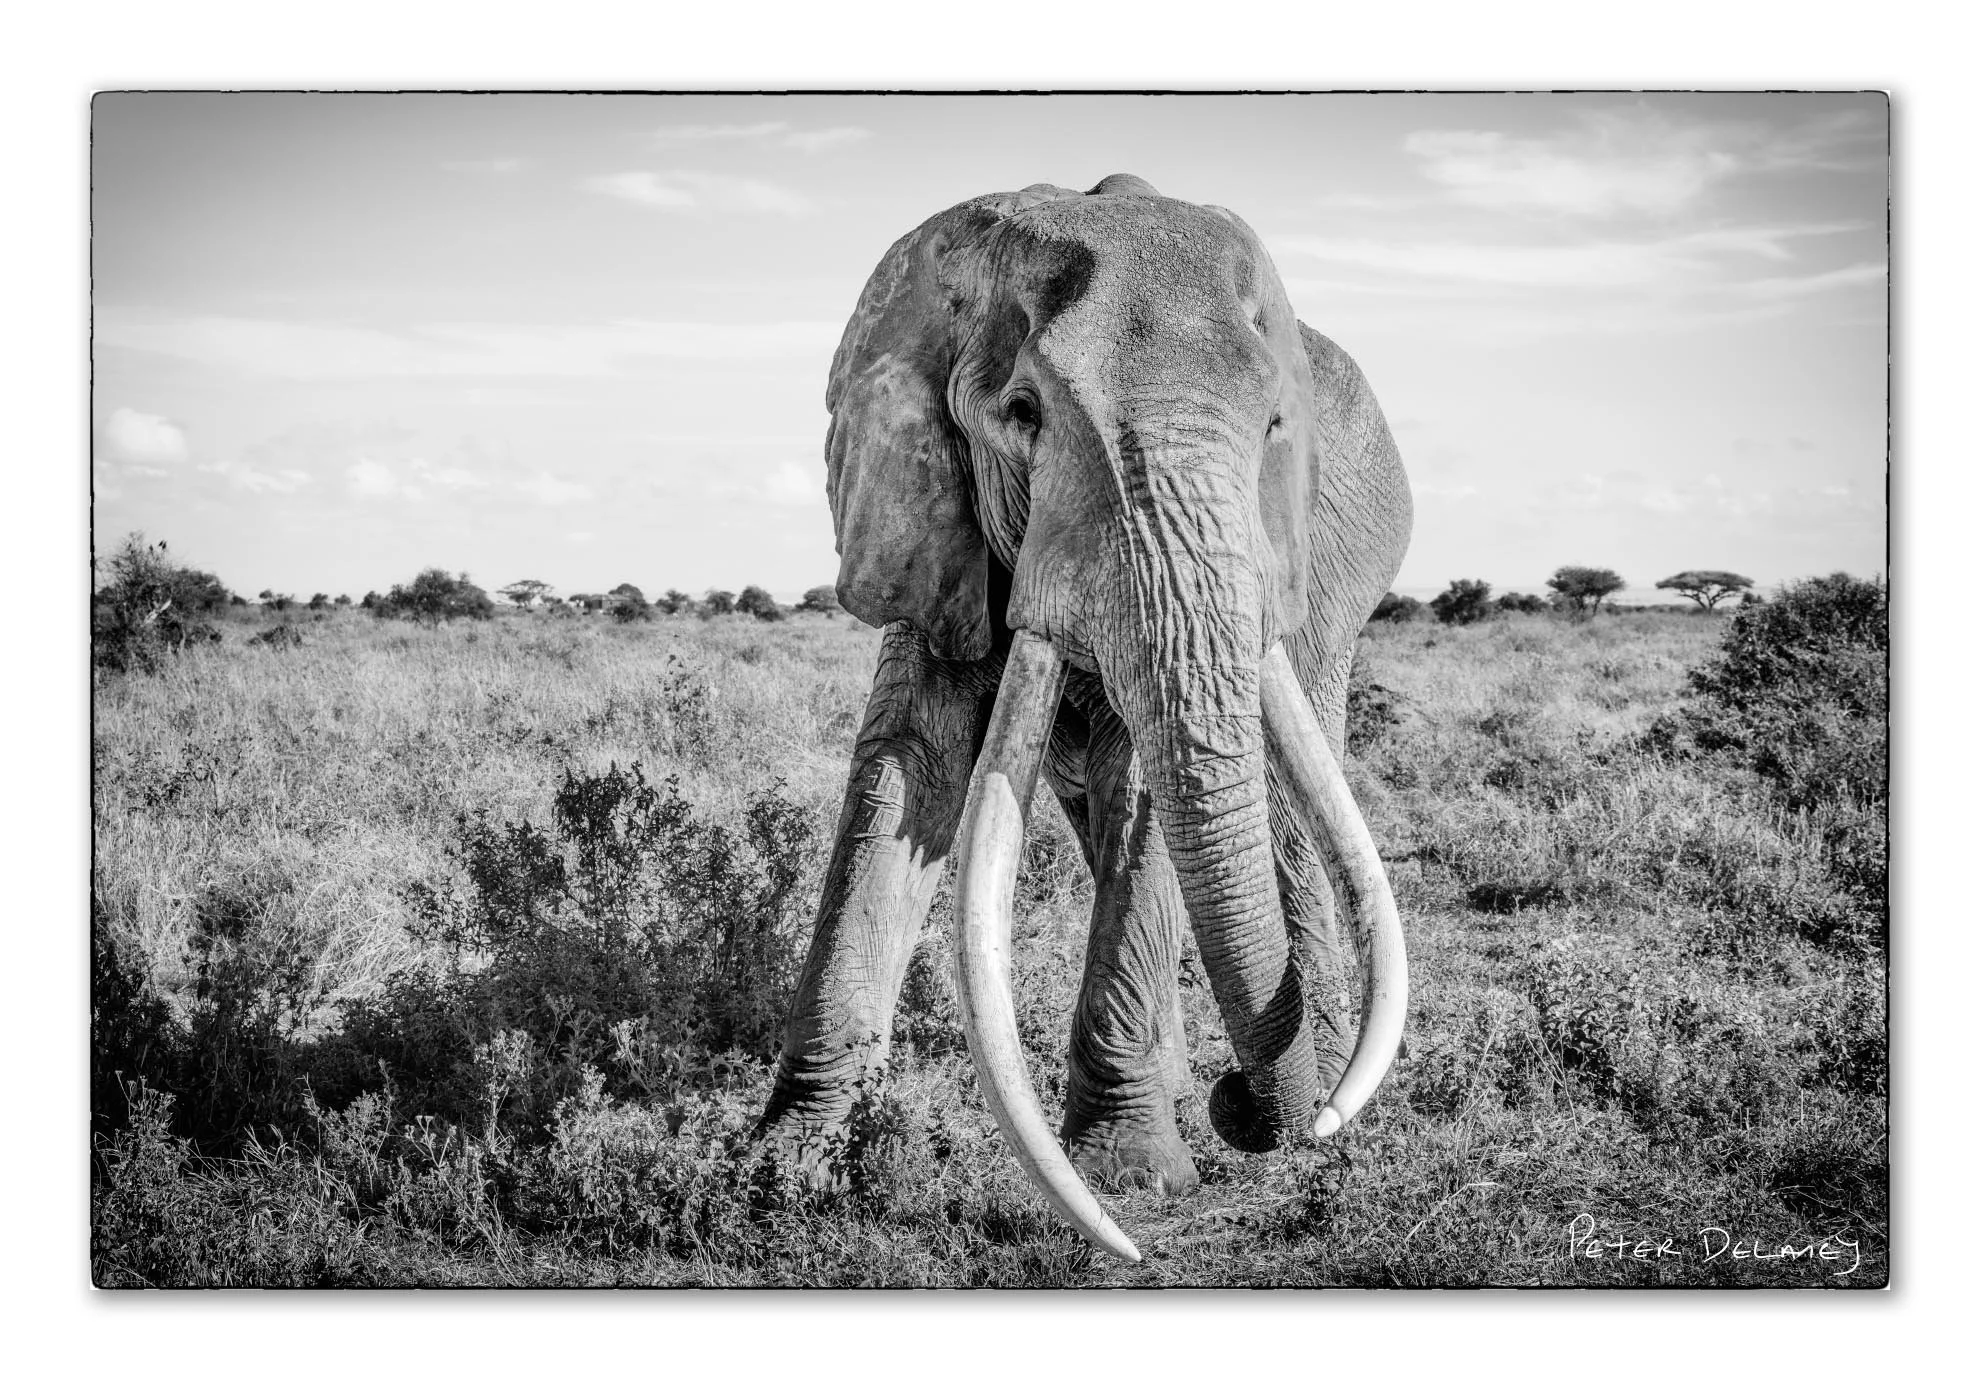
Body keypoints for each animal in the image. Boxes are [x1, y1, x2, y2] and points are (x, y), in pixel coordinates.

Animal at [758, 173, 1412, 1262]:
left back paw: (1304, 1095)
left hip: (1331, 597)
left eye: (1276, 426)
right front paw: (781, 1175)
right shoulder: (939, 525)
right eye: (1021, 413)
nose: (1243, 1104)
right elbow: (906, 769)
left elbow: (1145, 787)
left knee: (1280, 803)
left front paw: (1128, 1175)